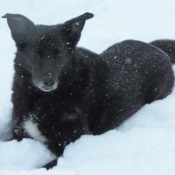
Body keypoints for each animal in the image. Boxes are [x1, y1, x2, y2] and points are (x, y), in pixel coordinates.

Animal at [2, 12, 174, 168]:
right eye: (36, 53)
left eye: (59, 54)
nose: (49, 82)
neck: (43, 99)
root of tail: (157, 48)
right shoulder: (19, 134)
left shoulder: (70, 147)